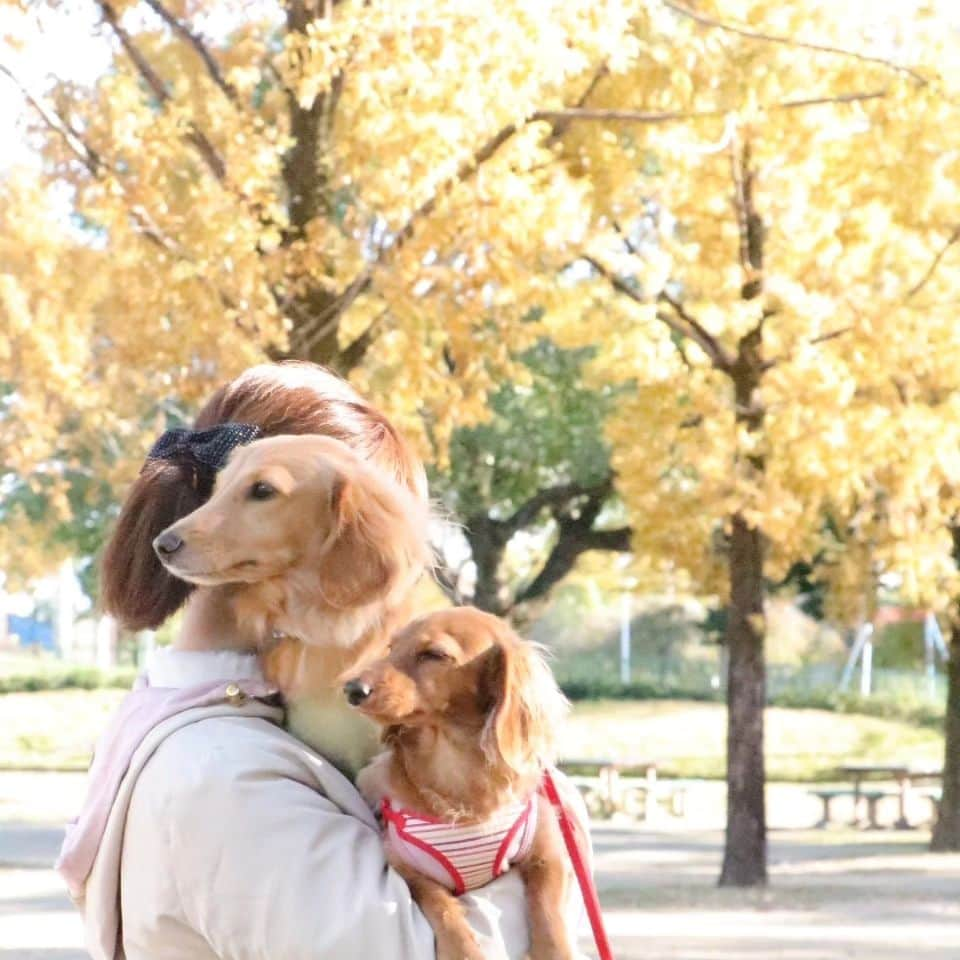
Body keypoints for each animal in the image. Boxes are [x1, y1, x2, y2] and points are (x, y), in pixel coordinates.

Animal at [346, 608, 576, 960]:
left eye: (434, 654)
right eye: (390, 648)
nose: (352, 689)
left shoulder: (546, 851)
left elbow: (549, 913)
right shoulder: (407, 865)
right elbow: (441, 906)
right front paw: (462, 950)